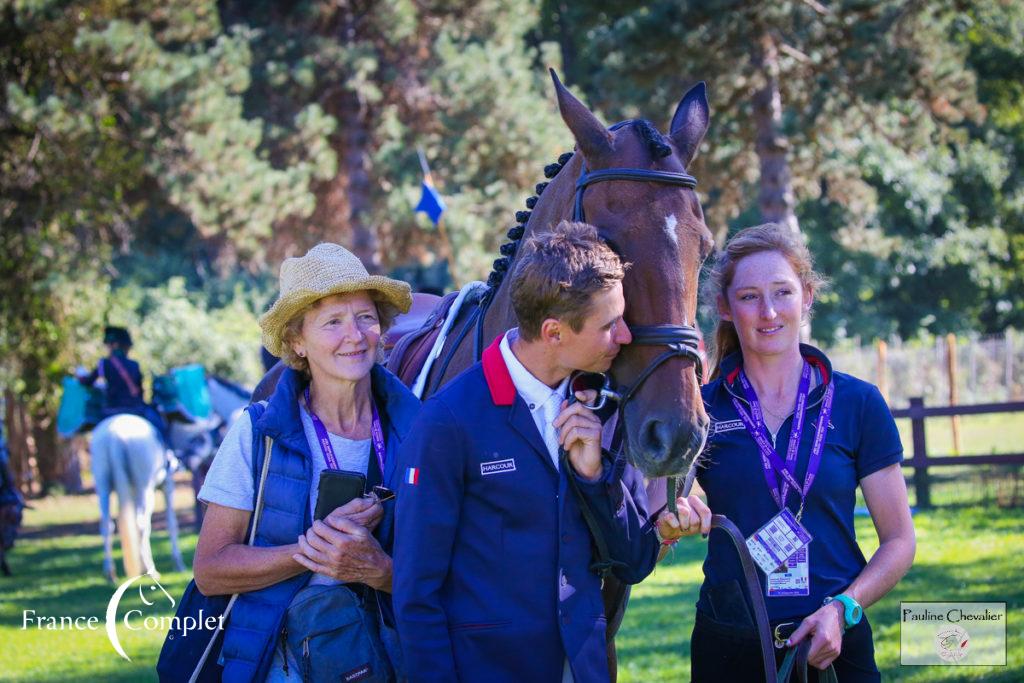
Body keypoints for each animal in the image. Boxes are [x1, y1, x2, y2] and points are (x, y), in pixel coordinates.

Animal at [91, 411, 185, 581]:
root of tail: (115, 435)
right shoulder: (168, 486)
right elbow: (172, 523)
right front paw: (178, 563)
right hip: (145, 486)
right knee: (142, 524)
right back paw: (151, 570)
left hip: (102, 483)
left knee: (106, 524)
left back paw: (110, 572)